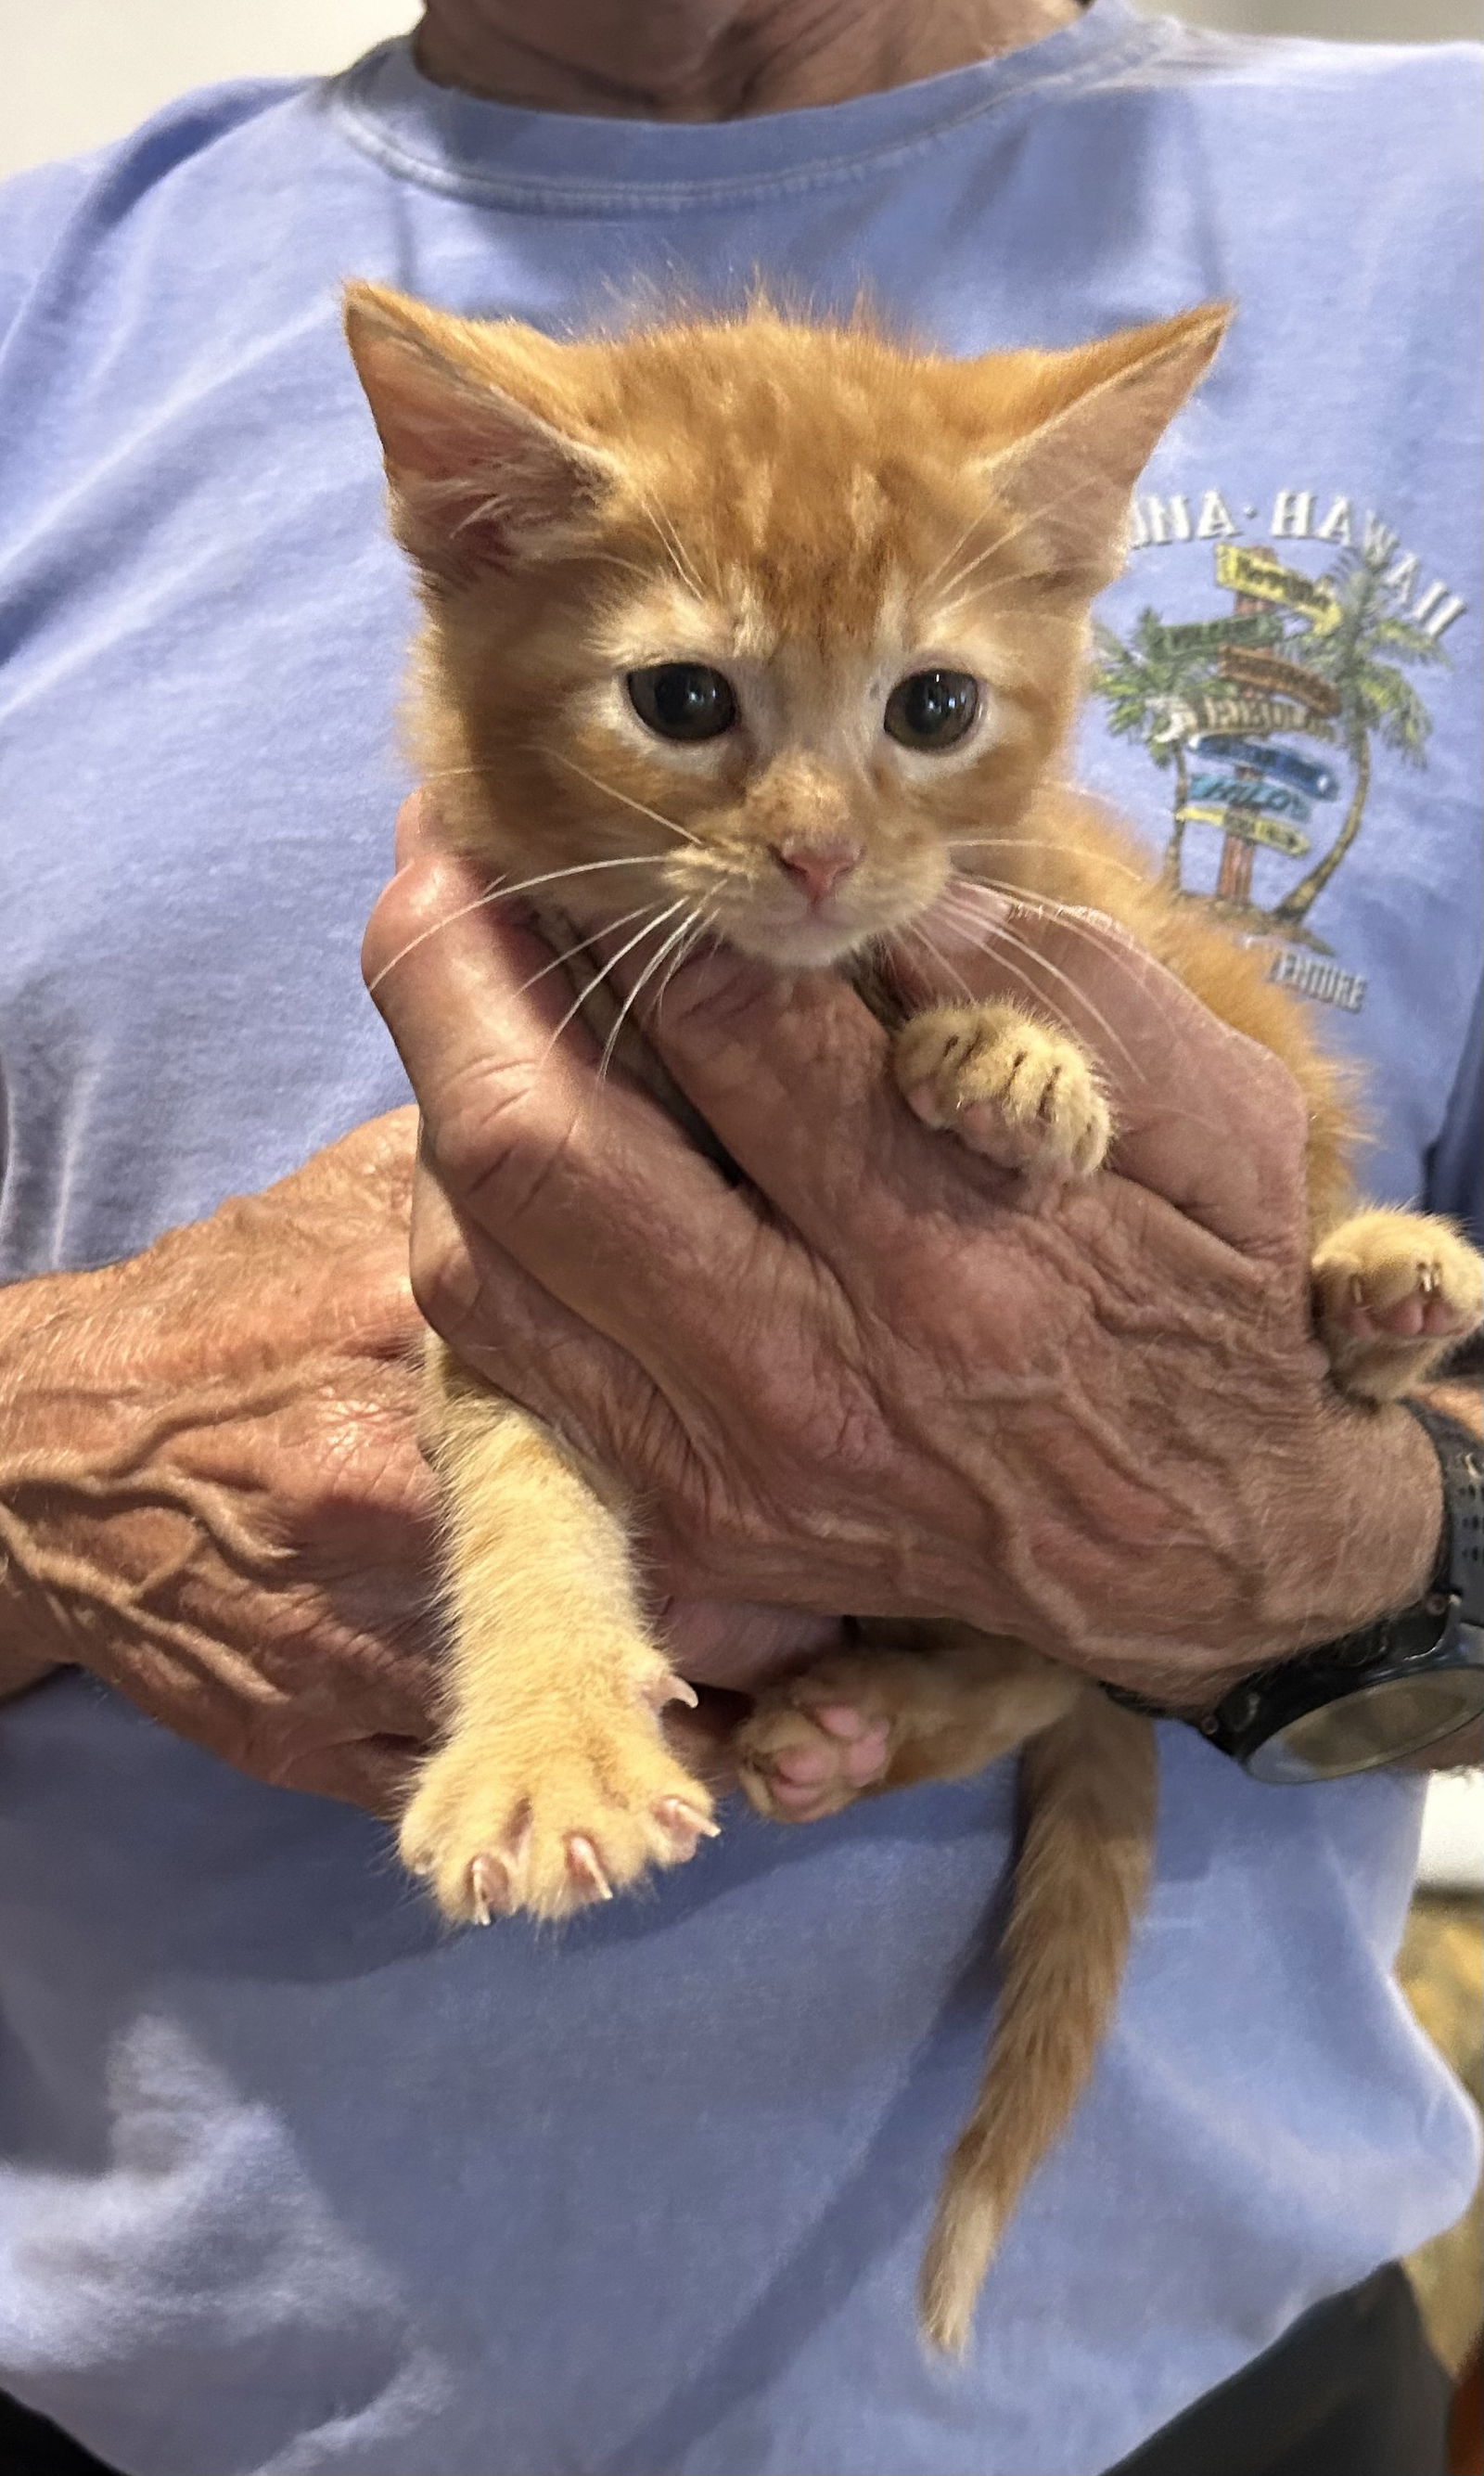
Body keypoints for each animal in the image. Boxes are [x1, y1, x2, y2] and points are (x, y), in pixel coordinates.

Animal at [349, 280, 1484, 2347]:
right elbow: (515, 1487)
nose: (814, 854)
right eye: (684, 701)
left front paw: (1001, 1046)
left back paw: (1375, 1281)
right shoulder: (502, 1249)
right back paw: (851, 1721)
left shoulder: (1071, 903)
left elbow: (1007, 935)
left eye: (932, 708)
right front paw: (548, 1740)